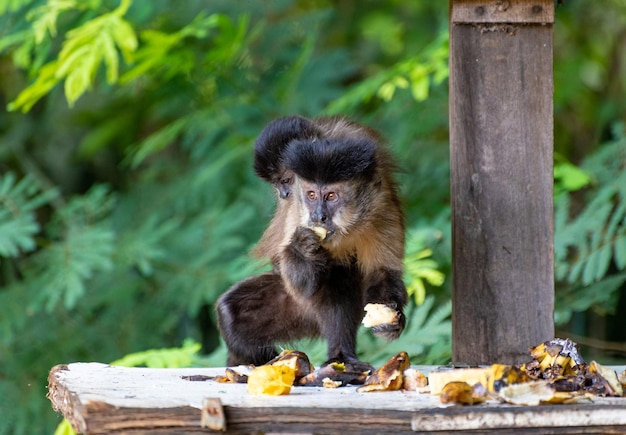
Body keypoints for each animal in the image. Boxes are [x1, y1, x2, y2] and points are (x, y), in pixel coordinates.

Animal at [217, 115, 408, 372]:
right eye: (311, 195)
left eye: (331, 196)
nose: (318, 216)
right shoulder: (298, 210)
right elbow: (299, 280)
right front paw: (301, 251)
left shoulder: (381, 205)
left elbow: (383, 272)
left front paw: (391, 319)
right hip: (296, 308)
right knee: (231, 313)